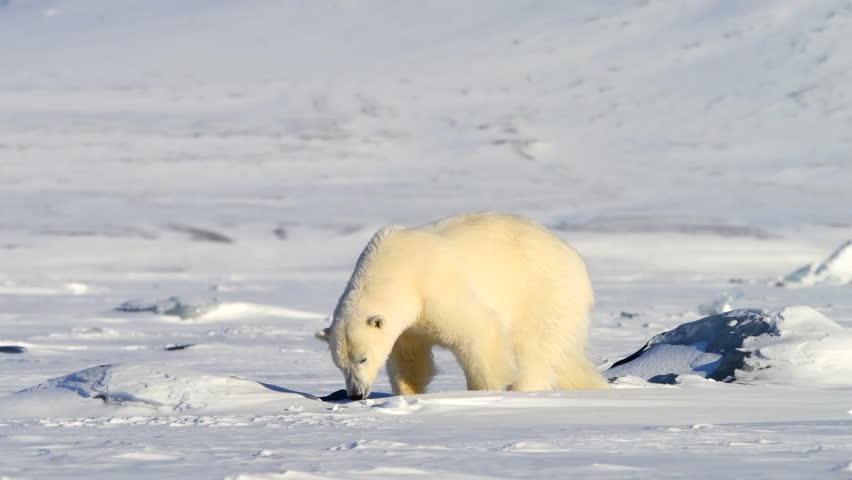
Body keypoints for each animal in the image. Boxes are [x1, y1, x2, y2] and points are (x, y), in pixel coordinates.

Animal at [315, 212, 607, 400]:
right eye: (339, 364)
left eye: (363, 358)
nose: (356, 394)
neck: (395, 269)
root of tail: (574, 258)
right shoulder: (410, 325)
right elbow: (410, 357)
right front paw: (408, 393)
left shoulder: (435, 286)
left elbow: (478, 332)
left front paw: (485, 392)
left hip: (542, 294)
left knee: (533, 351)